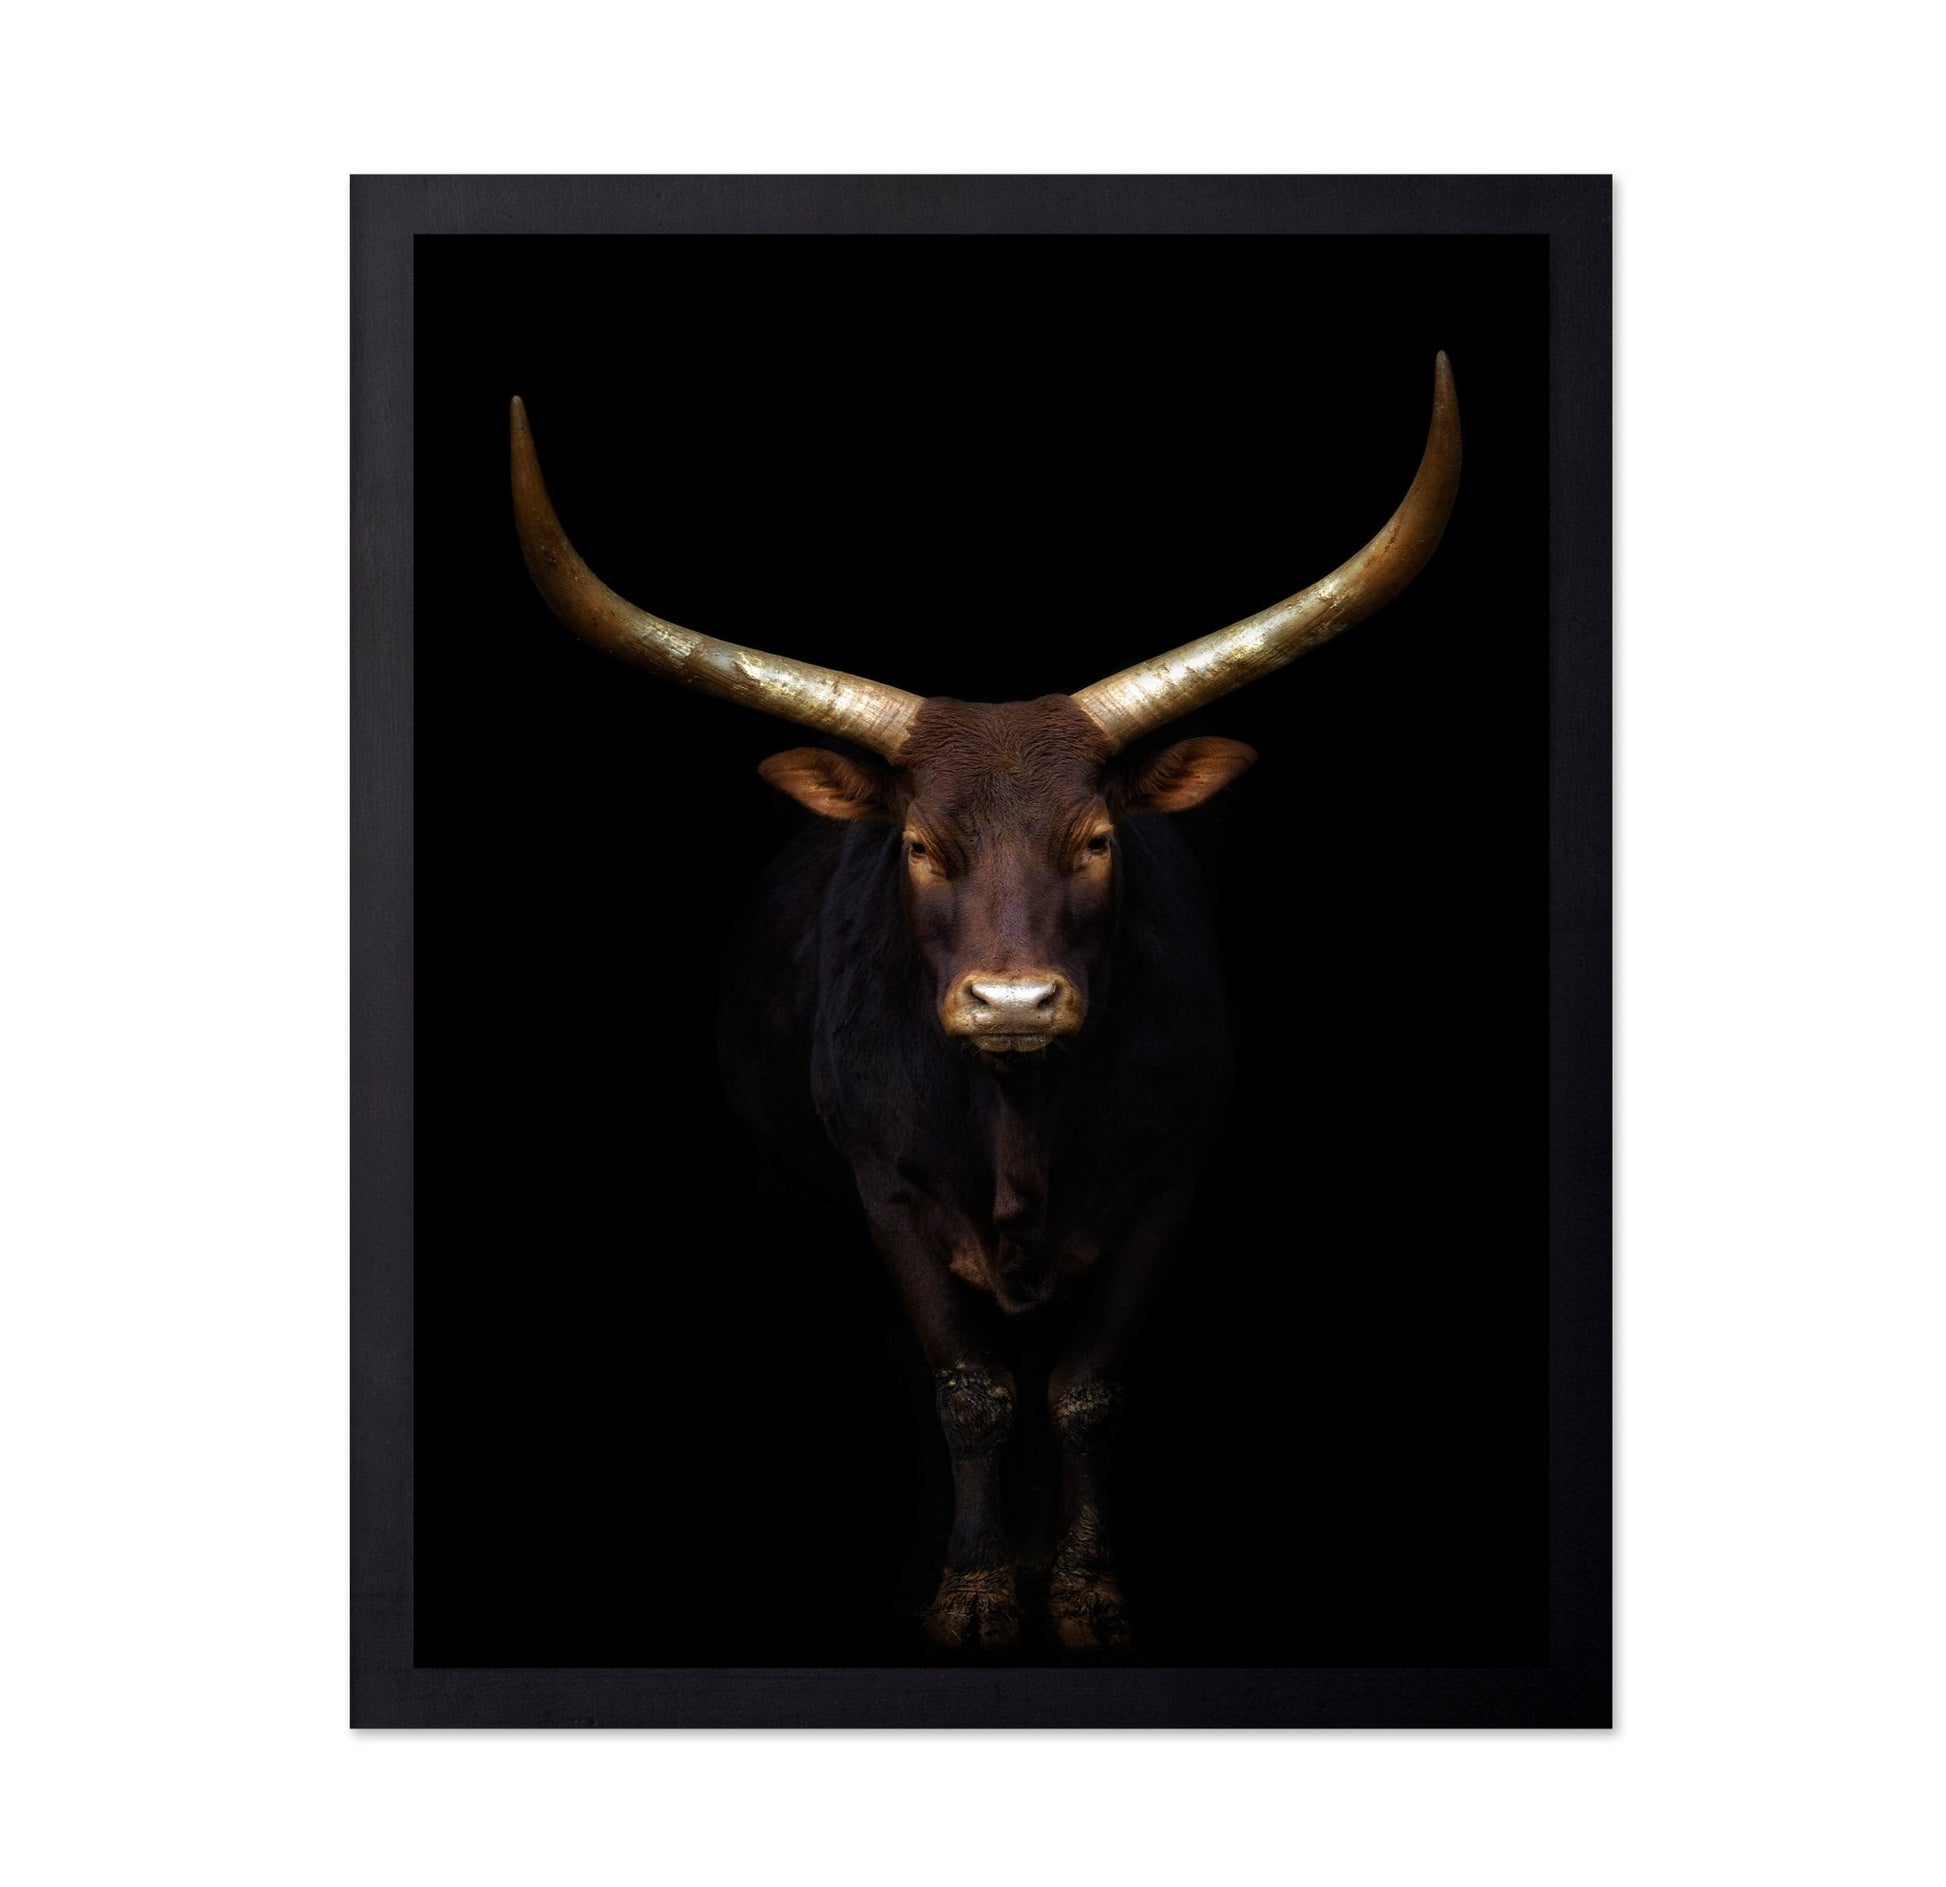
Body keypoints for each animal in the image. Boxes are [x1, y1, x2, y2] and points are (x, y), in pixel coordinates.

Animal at [508, 356, 1461, 1651]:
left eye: (1098, 837)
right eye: (918, 845)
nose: (1013, 1000)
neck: (1018, 1120)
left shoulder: (1168, 1180)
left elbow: (1087, 1389)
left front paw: (1083, 1589)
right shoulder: (885, 1190)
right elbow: (967, 1389)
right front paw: (971, 1587)